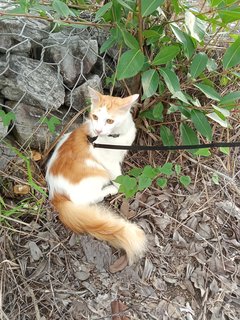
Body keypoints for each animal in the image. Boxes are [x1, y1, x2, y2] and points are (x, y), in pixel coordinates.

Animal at [44, 86, 146, 264]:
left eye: (110, 121)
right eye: (95, 117)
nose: (98, 129)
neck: (114, 137)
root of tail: (55, 194)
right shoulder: (110, 163)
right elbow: (119, 180)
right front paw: (122, 186)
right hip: (96, 174)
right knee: (89, 199)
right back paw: (109, 190)